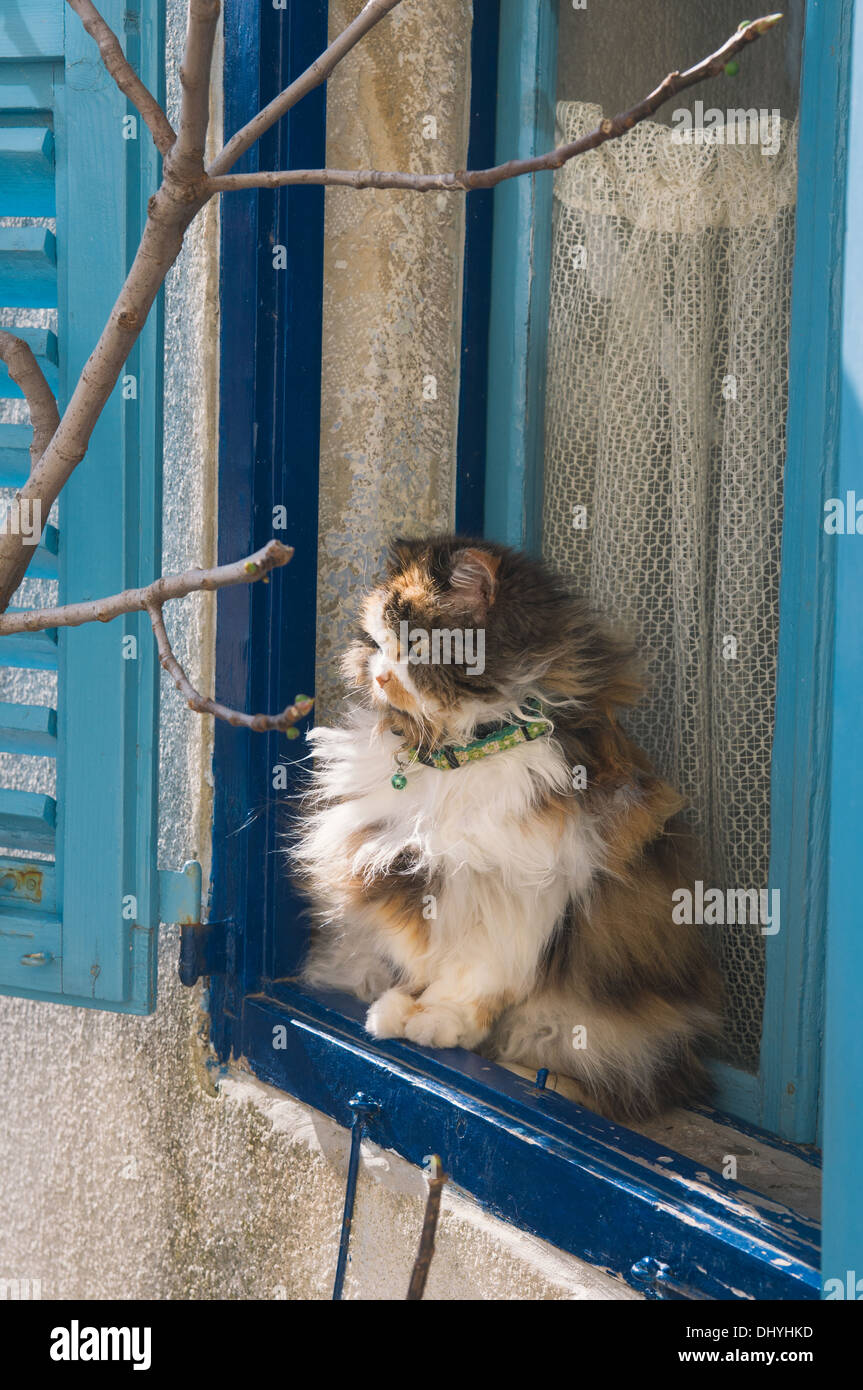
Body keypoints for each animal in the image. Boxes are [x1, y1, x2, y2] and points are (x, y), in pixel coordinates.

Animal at [289, 530, 722, 1117]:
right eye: (376, 642)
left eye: (417, 646)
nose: (379, 675)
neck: (462, 754)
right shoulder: (405, 875)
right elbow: (420, 956)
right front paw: (399, 1009)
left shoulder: (520, 892)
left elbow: (472, 979)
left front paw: (436, 1022)